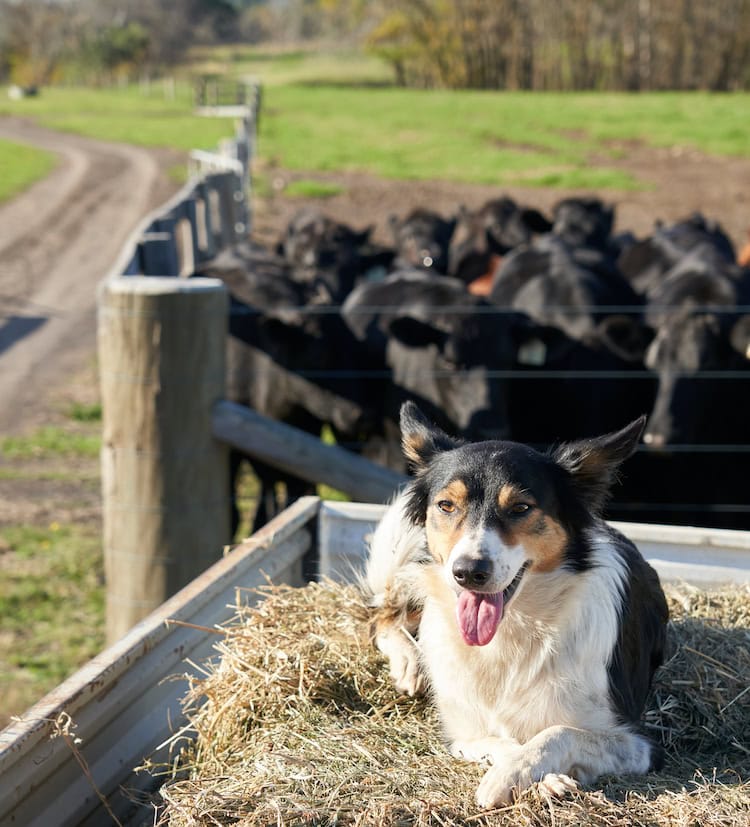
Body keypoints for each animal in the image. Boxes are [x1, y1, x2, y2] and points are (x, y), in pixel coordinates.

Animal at [366, 402, 668, 808]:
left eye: (521, 508)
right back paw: (409, 661)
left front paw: (517, 775)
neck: (513, 630)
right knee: (383, 615)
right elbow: (503, 741)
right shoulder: (465, 735)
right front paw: (530, 775)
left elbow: (558, 732)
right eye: (446, 505)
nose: (468, 572)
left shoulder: (639, 743)